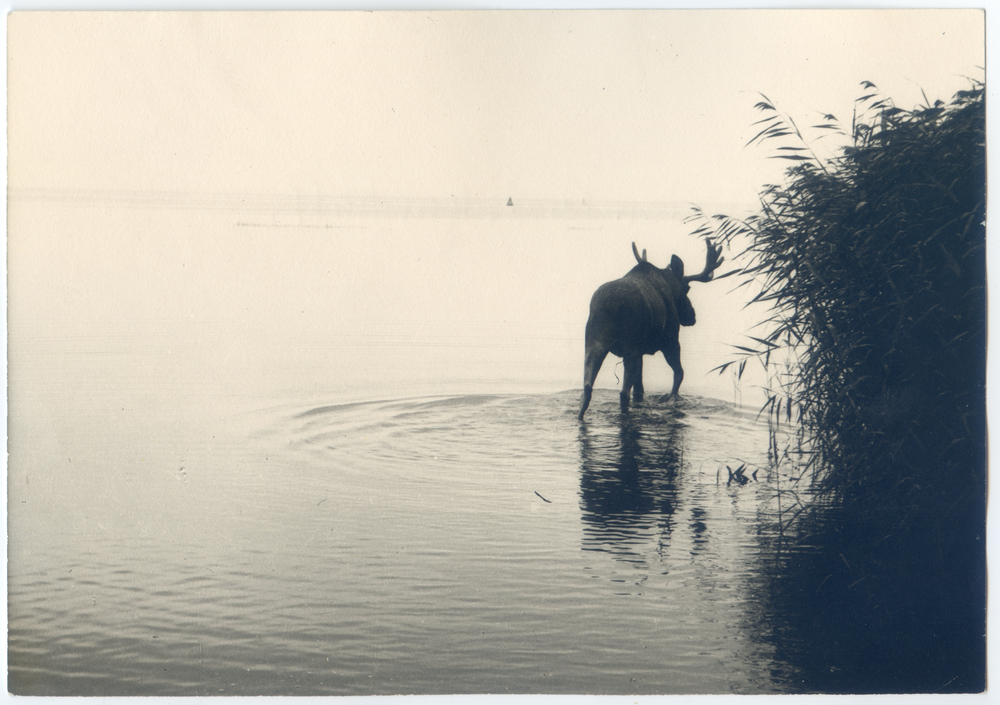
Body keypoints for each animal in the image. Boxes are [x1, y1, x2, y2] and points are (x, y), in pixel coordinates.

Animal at [580, 239, 728, 420]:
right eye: (687, 289)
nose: (692, 316)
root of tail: (609, 305)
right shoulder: (671, 341)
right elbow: (679, 375)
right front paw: (668, 398)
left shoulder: (642, 351)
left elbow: (640, 388)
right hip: (631, 348)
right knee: (623, 393)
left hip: (594, 343)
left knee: (587, 389)